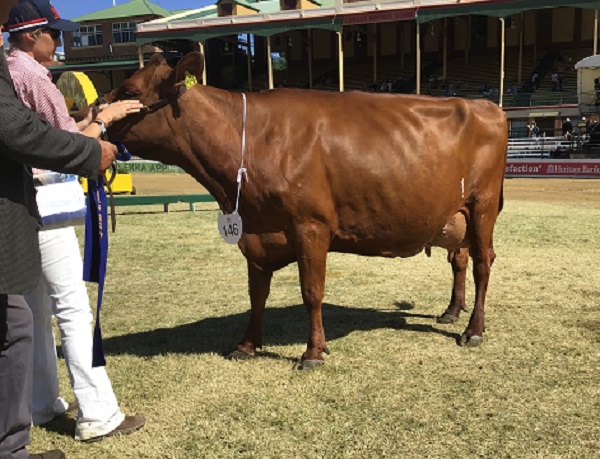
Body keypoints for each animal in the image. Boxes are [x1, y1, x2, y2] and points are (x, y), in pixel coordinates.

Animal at [108, 53, 506, 370]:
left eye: (128, 90)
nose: (92, 115)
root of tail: (487, 106)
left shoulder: (310, 226)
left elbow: (311, 291)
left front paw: (313, 352)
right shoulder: (254, 232)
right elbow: (256, 294)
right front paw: (247, 345)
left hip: (483, 204)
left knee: (483, 262)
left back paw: (474, 330)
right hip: (457, 214)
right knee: (460, 259)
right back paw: (451, 312)